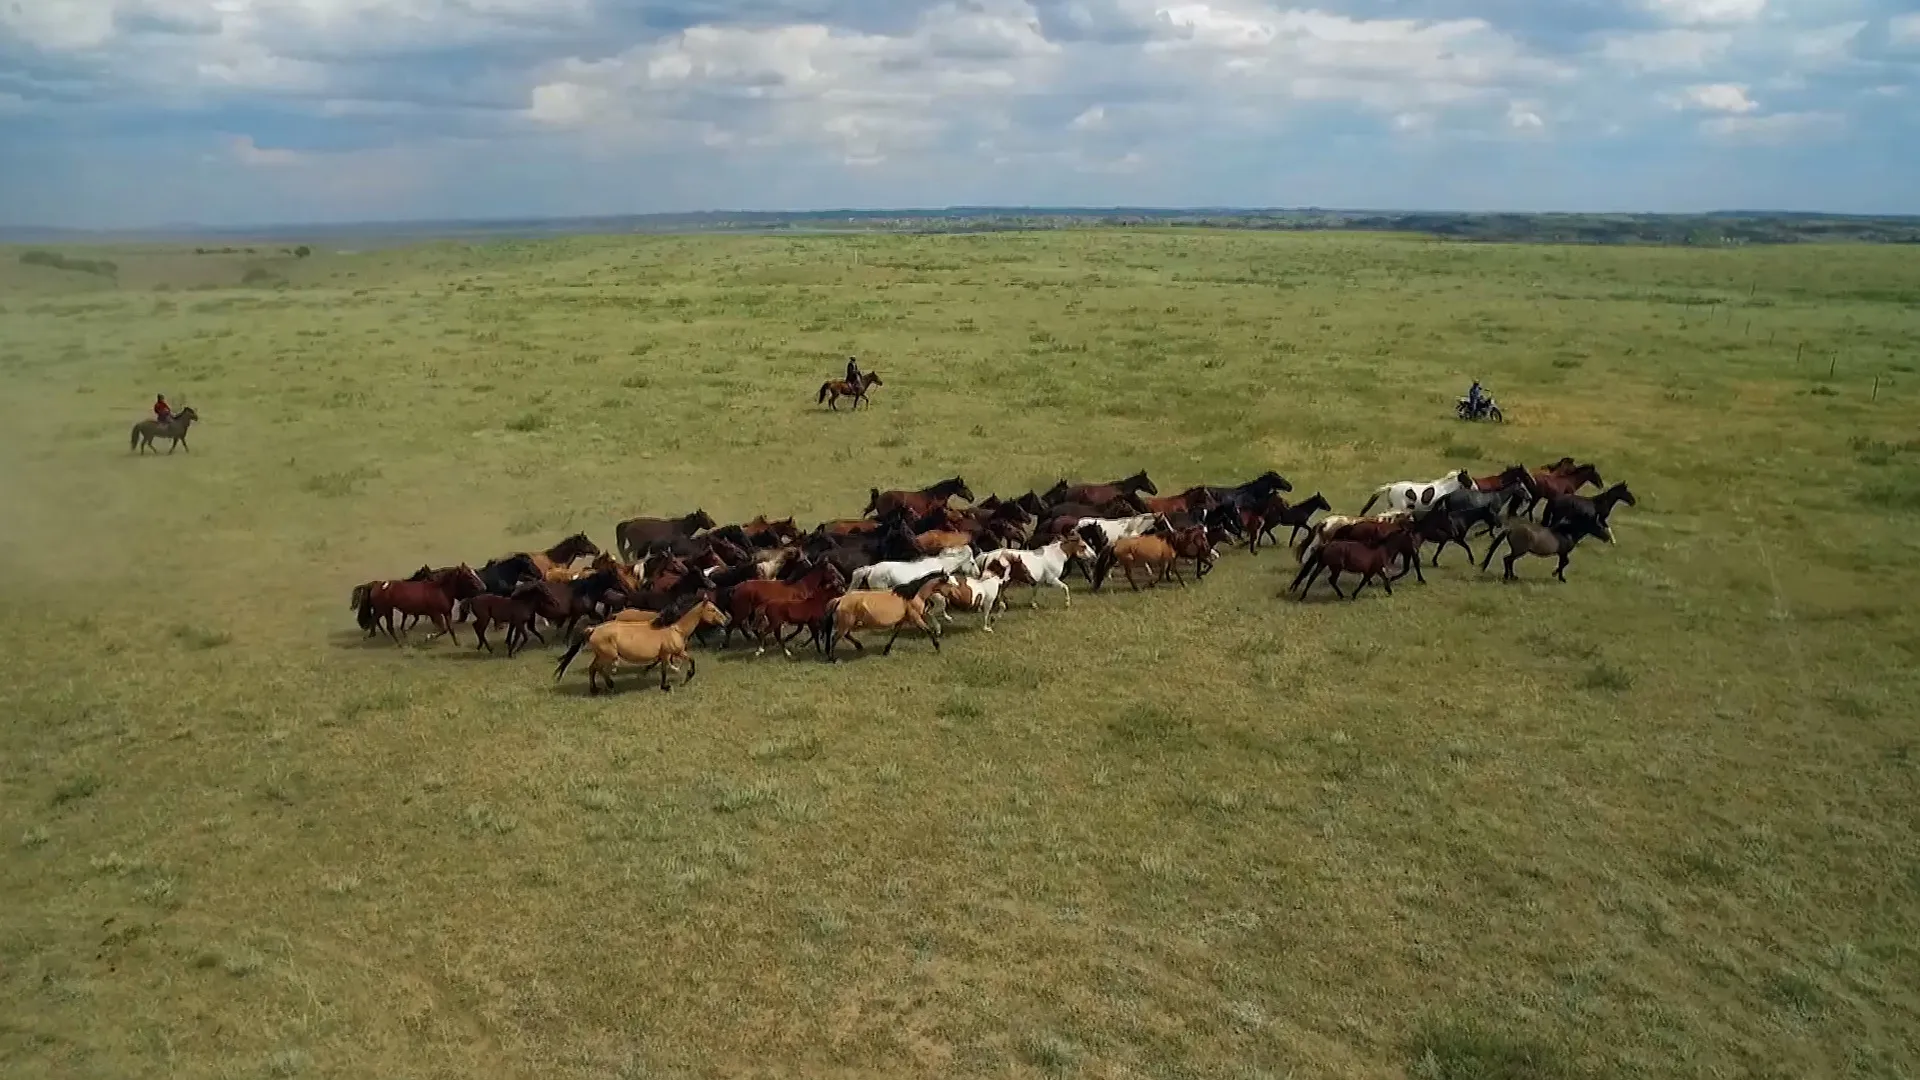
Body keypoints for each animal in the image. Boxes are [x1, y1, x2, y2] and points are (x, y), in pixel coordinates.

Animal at [560, 591, 737, 691]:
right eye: (712, 609)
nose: (726, 620)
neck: (675, 628)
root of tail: (593, 629)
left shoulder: (669, 654)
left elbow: (668, 668)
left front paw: (668, 684)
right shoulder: (672, 653)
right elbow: (680, 665)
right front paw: (679, 680)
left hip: (601, 655)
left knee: (593, 669)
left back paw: (597, 688)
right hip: (608, 655)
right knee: (598, 669)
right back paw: (607, 685)